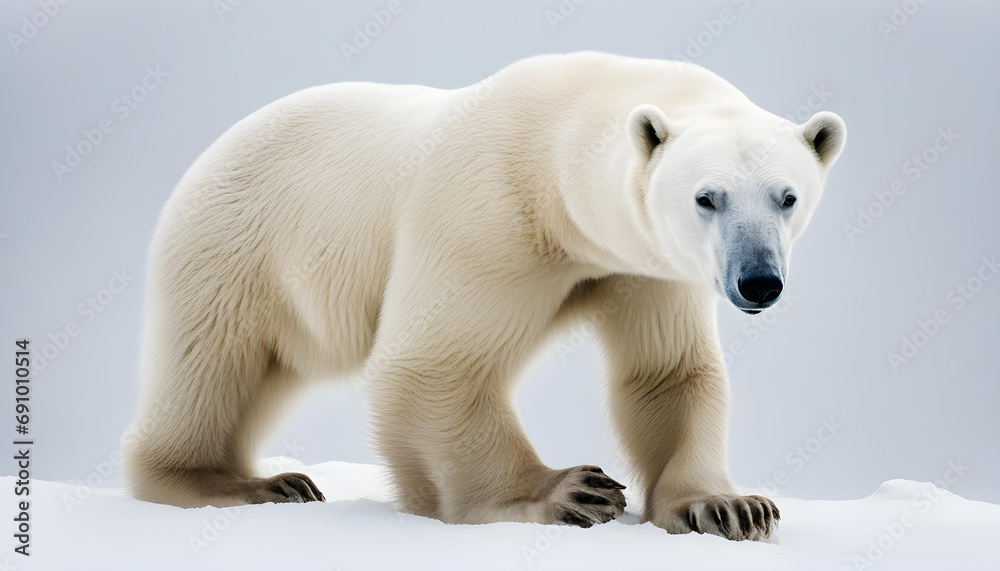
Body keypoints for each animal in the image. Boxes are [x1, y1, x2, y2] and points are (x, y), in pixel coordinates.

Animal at [123, 51, 845, 541]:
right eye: (706, 197)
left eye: (787, 196)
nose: (758, 280)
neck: (557, 140)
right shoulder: (491, 214)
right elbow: (435, 362)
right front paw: (570, 492)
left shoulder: (645, 263)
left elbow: (666, 373)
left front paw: (727, 505)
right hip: (236, 246)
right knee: (213, 364)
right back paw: (241, 481)